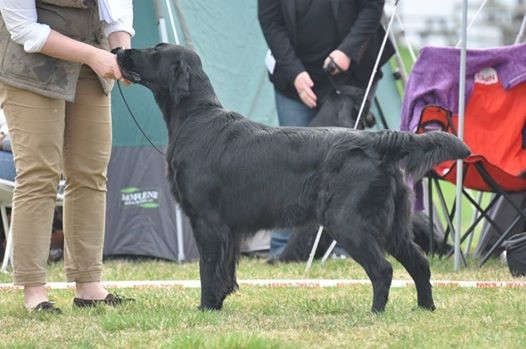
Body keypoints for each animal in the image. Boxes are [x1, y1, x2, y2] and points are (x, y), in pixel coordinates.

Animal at [118, 44, 470, 312]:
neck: (196, 117)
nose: (120, 50)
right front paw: (217, 305)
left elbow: (208, 270)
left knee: (383, 270)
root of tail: (376, 141)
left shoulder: (207, 221)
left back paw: (376, 313)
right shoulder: (229, 228)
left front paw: (205, 308)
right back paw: (425, 308)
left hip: (348, 223)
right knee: (420, 263)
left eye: (155, 51)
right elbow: (224, 273)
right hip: (395, 226)